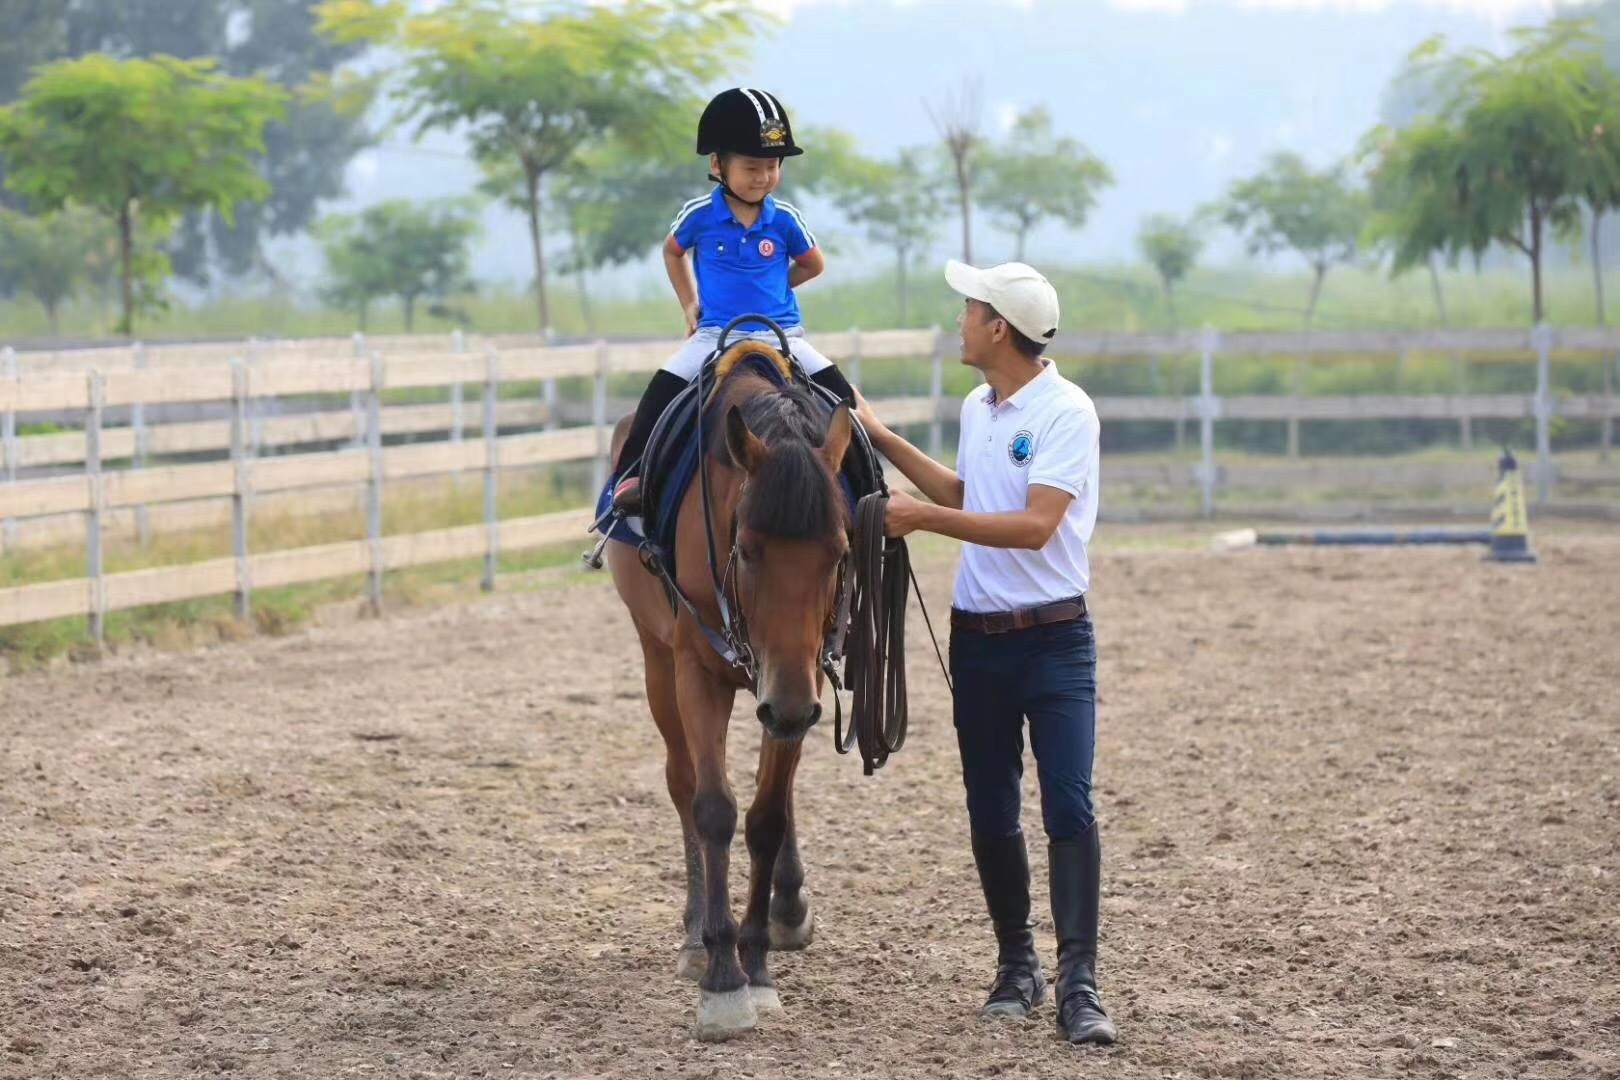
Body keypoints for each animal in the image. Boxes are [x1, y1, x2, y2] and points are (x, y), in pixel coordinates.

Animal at [604, 344, 855, 1040]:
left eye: (839, 552)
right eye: (745, 549)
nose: (791, 707)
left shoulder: (803, 676)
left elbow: (767, 817)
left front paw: (758, 964)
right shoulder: (696, 670)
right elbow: (712, 806)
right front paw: (722, 977)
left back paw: (786, 908)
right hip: (657, 660)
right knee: (682, 782)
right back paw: (696, 938)